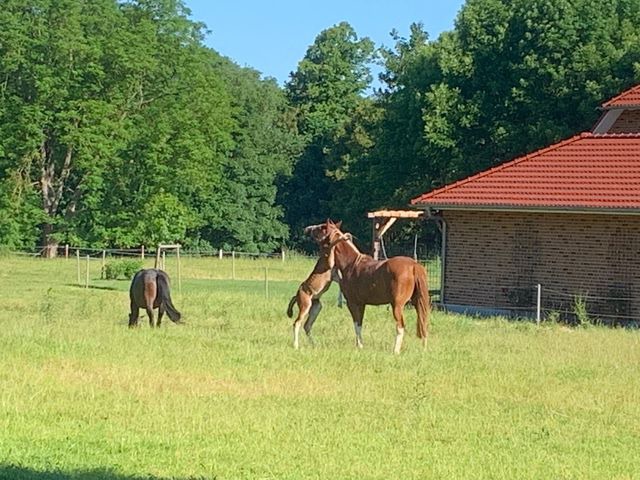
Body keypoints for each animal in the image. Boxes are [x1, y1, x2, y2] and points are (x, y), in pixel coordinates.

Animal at [306, 220, 430, 352]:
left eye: (322, 227)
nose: (308, 229)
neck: (351, 265)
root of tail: (413, 266)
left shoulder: (352, 303)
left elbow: (356, 324)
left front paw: (359, 346)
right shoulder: (362, 304)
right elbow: (360, 324)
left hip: (397, 305)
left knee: (400, 326)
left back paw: (395, 351)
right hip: (417, 302)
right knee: (423, 323)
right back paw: (423, 349)